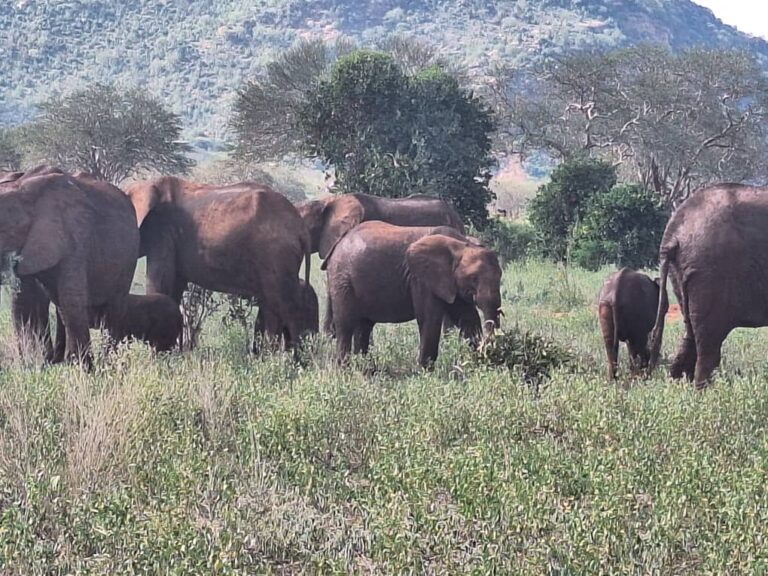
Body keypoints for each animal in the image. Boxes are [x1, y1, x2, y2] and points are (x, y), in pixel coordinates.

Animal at [0, 167, 139, 366]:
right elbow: (23, 301)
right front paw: (33, 365)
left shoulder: (74, 236)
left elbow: (71, 300)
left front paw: (81, 367)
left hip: (129, 257)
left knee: (113, 309)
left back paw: (109, 363)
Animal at [123, 176, 312, 351]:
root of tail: (301, 227)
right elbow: (174, 286)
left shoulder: (162, 230)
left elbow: (159, 284)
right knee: (272, 307)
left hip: (277, 254)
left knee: (285, 306)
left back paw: (293, 360)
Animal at [324, 221, 502, 367]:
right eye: (473, 278)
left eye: (500, 276)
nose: (490, 352)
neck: (461, 244)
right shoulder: (421, 279)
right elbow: (430, 319)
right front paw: (425, 372)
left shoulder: (451, 283)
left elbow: (468, 318)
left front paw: (478, 362)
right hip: (342, 279)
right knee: (346, 325)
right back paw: (345, 369)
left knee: (364, 327)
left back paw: (366, 369)